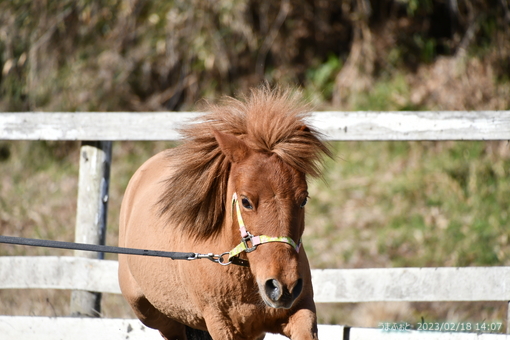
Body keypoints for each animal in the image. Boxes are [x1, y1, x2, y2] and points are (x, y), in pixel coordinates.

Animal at [119, 86, 332, 338]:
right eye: (246, 201)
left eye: (303, 199)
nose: (283, 286)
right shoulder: (221, 325)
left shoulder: (300, 311)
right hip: (155, 315)